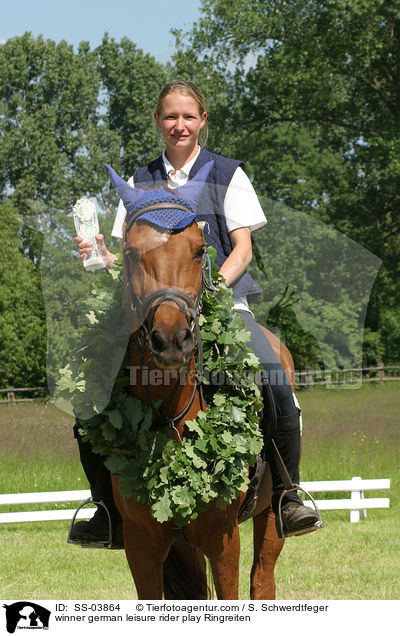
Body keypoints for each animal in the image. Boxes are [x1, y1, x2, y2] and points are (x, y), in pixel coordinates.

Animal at [108, 214, 294, 600]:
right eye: (130, 253)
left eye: (198, 251)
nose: (171, 339)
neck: (170, 420)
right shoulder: (141, 543)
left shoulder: (222, 539)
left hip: (271, 513)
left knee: (262, 580)